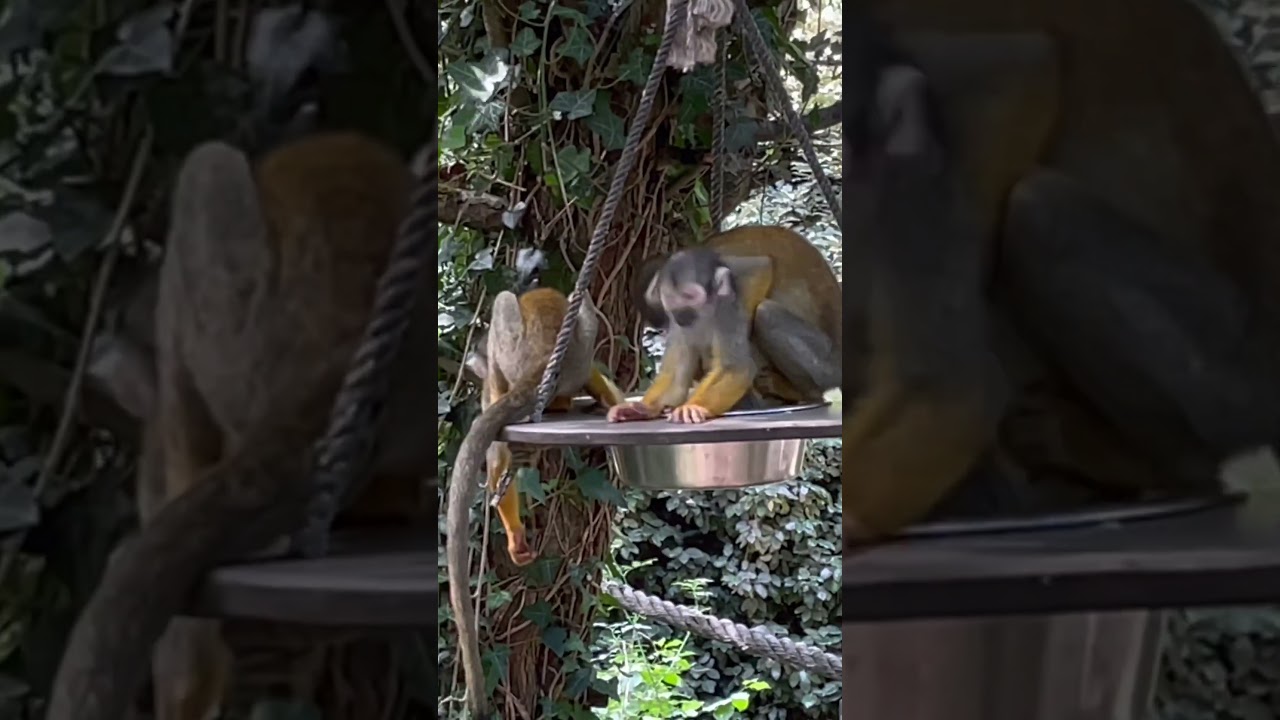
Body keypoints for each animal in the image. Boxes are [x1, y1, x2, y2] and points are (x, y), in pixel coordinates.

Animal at [608, 225, 842, 424]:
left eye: (690, 297)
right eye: (671, 302)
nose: (681, 318)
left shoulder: (729, 299)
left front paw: (693, 407)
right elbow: (676, 378)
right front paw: (640, 409)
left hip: (827, 365)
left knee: (766, 313)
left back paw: (804, 394)